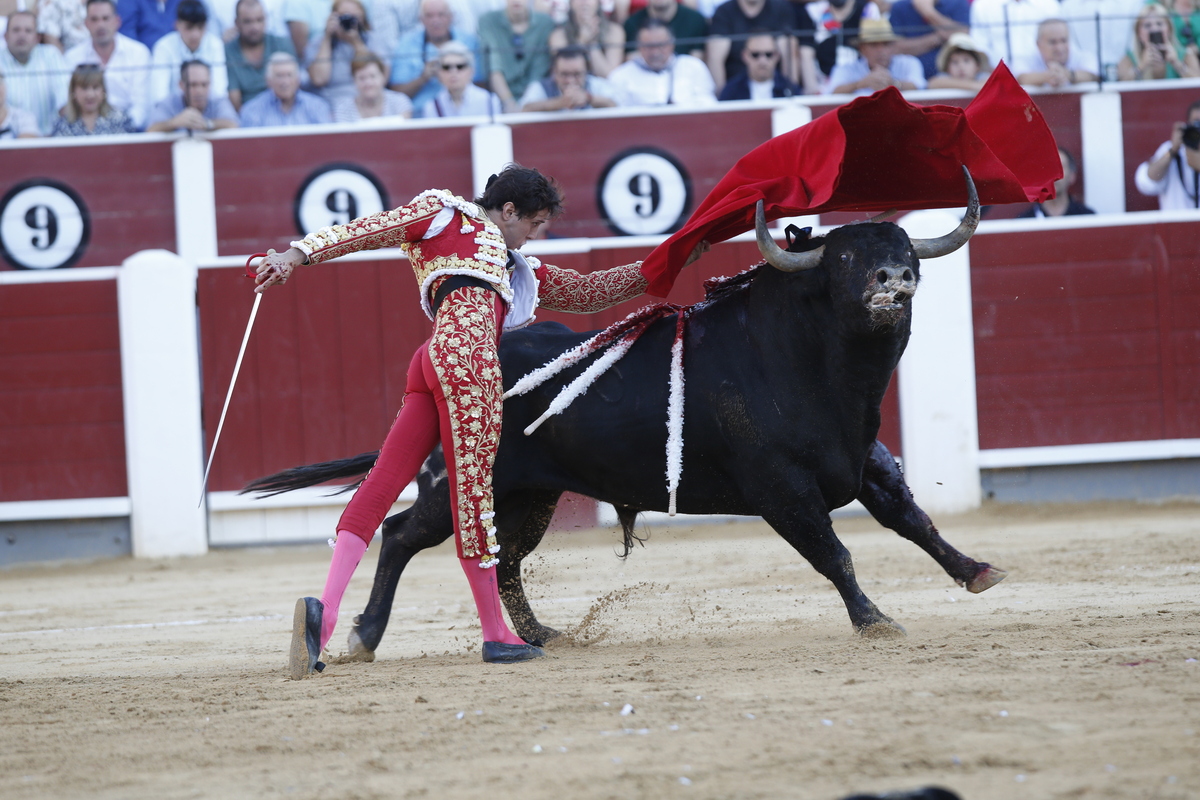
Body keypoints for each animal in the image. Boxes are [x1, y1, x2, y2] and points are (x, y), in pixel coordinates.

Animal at [248, 183, 1008, 657]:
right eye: (847, 255)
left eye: (906, 253)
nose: (893, 281)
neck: (822, 371)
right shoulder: (781, 490)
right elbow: (835, 552)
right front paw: (875, 619)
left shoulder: (865, 461)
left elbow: (912, 520)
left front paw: (976, 571)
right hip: (461, 475)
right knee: (405, 533)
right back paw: (364, 635)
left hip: (530, 494)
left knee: (504, 559)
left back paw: (536, 635)